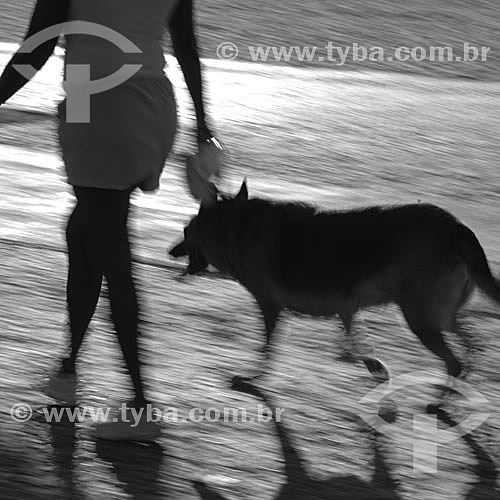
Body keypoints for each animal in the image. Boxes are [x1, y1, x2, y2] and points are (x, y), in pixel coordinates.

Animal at [171, 180, 500, 394]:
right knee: (472, 344)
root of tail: (455, 227)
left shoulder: (272, 308)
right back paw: (461, 385)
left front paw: (254, 377)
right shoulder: (346, 307)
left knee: (454, 360)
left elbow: (267, 348)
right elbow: (355, 341)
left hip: (420, 319)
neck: (234, 228)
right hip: (440, 316)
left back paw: (443, 400)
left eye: (186, 231)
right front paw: (374, 367)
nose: (171, 251)